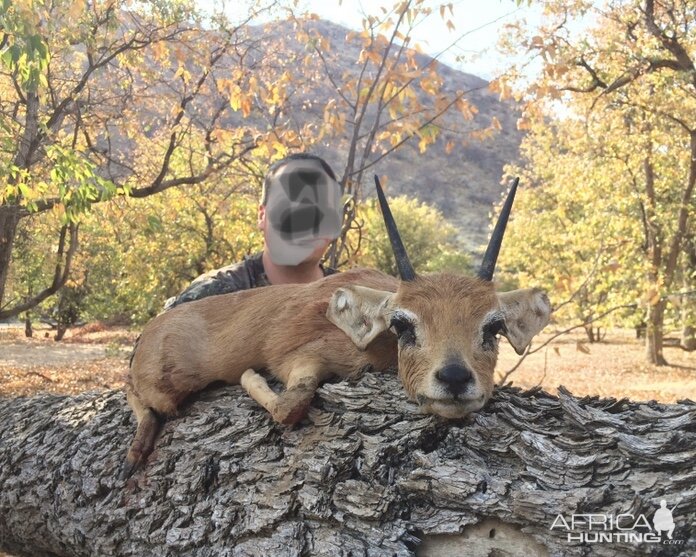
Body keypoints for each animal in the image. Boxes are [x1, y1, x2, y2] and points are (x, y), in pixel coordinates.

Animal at [123, 176, 548, 476]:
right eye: (402, 324)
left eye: (492, 327)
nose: (455, 378)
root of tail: (154, 327)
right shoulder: (301, 359)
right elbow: (289, 408)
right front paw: (248, 374)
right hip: (167, 388)